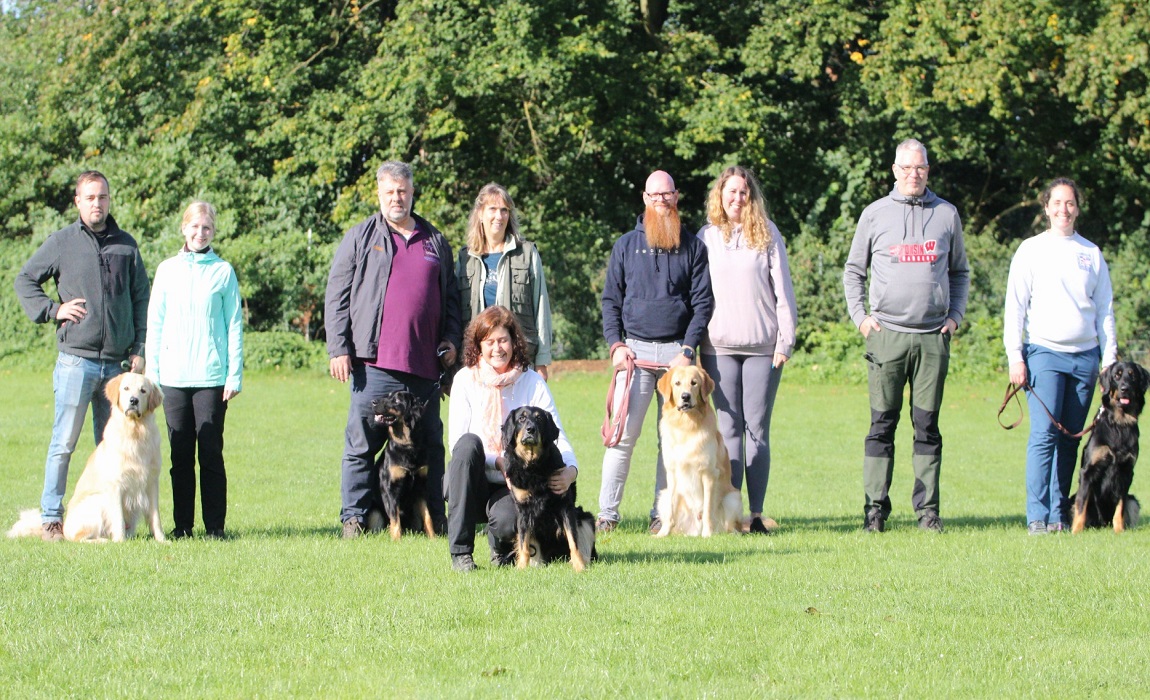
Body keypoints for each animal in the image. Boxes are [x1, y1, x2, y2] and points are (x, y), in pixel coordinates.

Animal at [8, 372, 166, 540]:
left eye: (143, 391)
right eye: (126, 388)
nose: (133, 400)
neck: (135, 431)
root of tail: (63, 528)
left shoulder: (151, 482)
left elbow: (155, 516)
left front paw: (161, 540)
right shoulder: (115, 484)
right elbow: (118, 518)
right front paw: (120, 541)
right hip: (97, 501)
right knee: (80, 537)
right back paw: (104, 541)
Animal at [368, 390, 434, 537]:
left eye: (397, 401)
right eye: (388, 395)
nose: (373, 402)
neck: (407, 445)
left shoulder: (421, 486)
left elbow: (427, 516)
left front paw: (434, 537)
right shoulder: (390, 488)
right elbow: (395, 517)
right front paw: (396, 539)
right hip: (375, 512)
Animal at [499, 406, 598, 570]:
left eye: (539, 418)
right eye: (521, 418)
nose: (531, 429)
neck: (533, 466)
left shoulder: (565, 506)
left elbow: (573, 541)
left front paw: (579, 566)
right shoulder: (523, 511)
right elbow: (523, 543)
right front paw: (522, 567)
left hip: (586, 518)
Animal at [657, 365, 745, 535]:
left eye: (694, 383)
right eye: (677, 383)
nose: (685, 396)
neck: (686, 426)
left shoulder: (709, 473)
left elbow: (707, 510)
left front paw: (707, 534)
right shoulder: (672, 472)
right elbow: (671, 511)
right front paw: (662, 534)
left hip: (733, 498)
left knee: (730, 526)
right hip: (663, 496)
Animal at [1071, 358, 1145, 533]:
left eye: (1132, 375)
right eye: (1117, 376)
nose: (1124, 389)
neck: (1119, 424)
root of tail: (1102, 524)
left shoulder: (1126, 472)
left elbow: (1120, 506)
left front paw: (1119, 531)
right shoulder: (1087, 471)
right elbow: (1081, 505)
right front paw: (1075, 531)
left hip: (1133, 500)